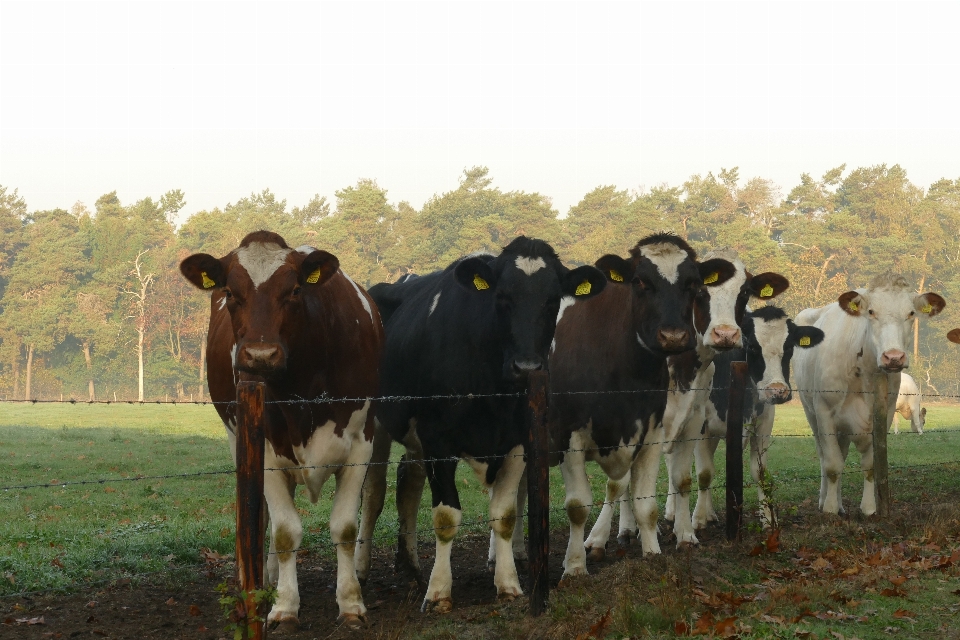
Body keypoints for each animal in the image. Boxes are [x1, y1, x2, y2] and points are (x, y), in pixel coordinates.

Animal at [178, 231, 380, 632]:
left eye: (295, 290)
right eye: (231, 292)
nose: (260, 355)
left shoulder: (360, 444)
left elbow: (345, 528)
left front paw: (351, 603)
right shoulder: (266, 449)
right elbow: (285, 531)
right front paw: (285, 607)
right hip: (240, 440)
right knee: (259, 515)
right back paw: (258, 580)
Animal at [356, 238, 604, 612]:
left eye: (552, 301)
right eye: (501, 297)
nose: (527, 366)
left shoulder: (517, 440)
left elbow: (504, 514)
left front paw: (508, 584)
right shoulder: (438, 439)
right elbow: (446, 517)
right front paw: (439, 592)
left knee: (408, 482)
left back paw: (411, 566)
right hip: (376, 423)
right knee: (373, 493)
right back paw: (360, 570)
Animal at [692, 308, 828, 528]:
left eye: (788, 346)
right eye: (752, 346)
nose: (777, 390)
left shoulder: (763, 423)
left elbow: (760, 472)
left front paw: (768, 518)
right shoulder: (701, 425)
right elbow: (704, 473)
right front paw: (697, 519)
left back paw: (710, 511)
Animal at [796, 274, 944, 516]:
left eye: (911, 313)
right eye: (871, 312)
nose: (893, 357)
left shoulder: (884, 414)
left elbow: (870, 464)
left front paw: (868, 508)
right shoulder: (824, 411)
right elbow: (832, 464)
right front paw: (829, 509)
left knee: (842, 453)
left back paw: (840, 504)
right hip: (810, 412)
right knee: (824, 456)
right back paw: (824, 500)